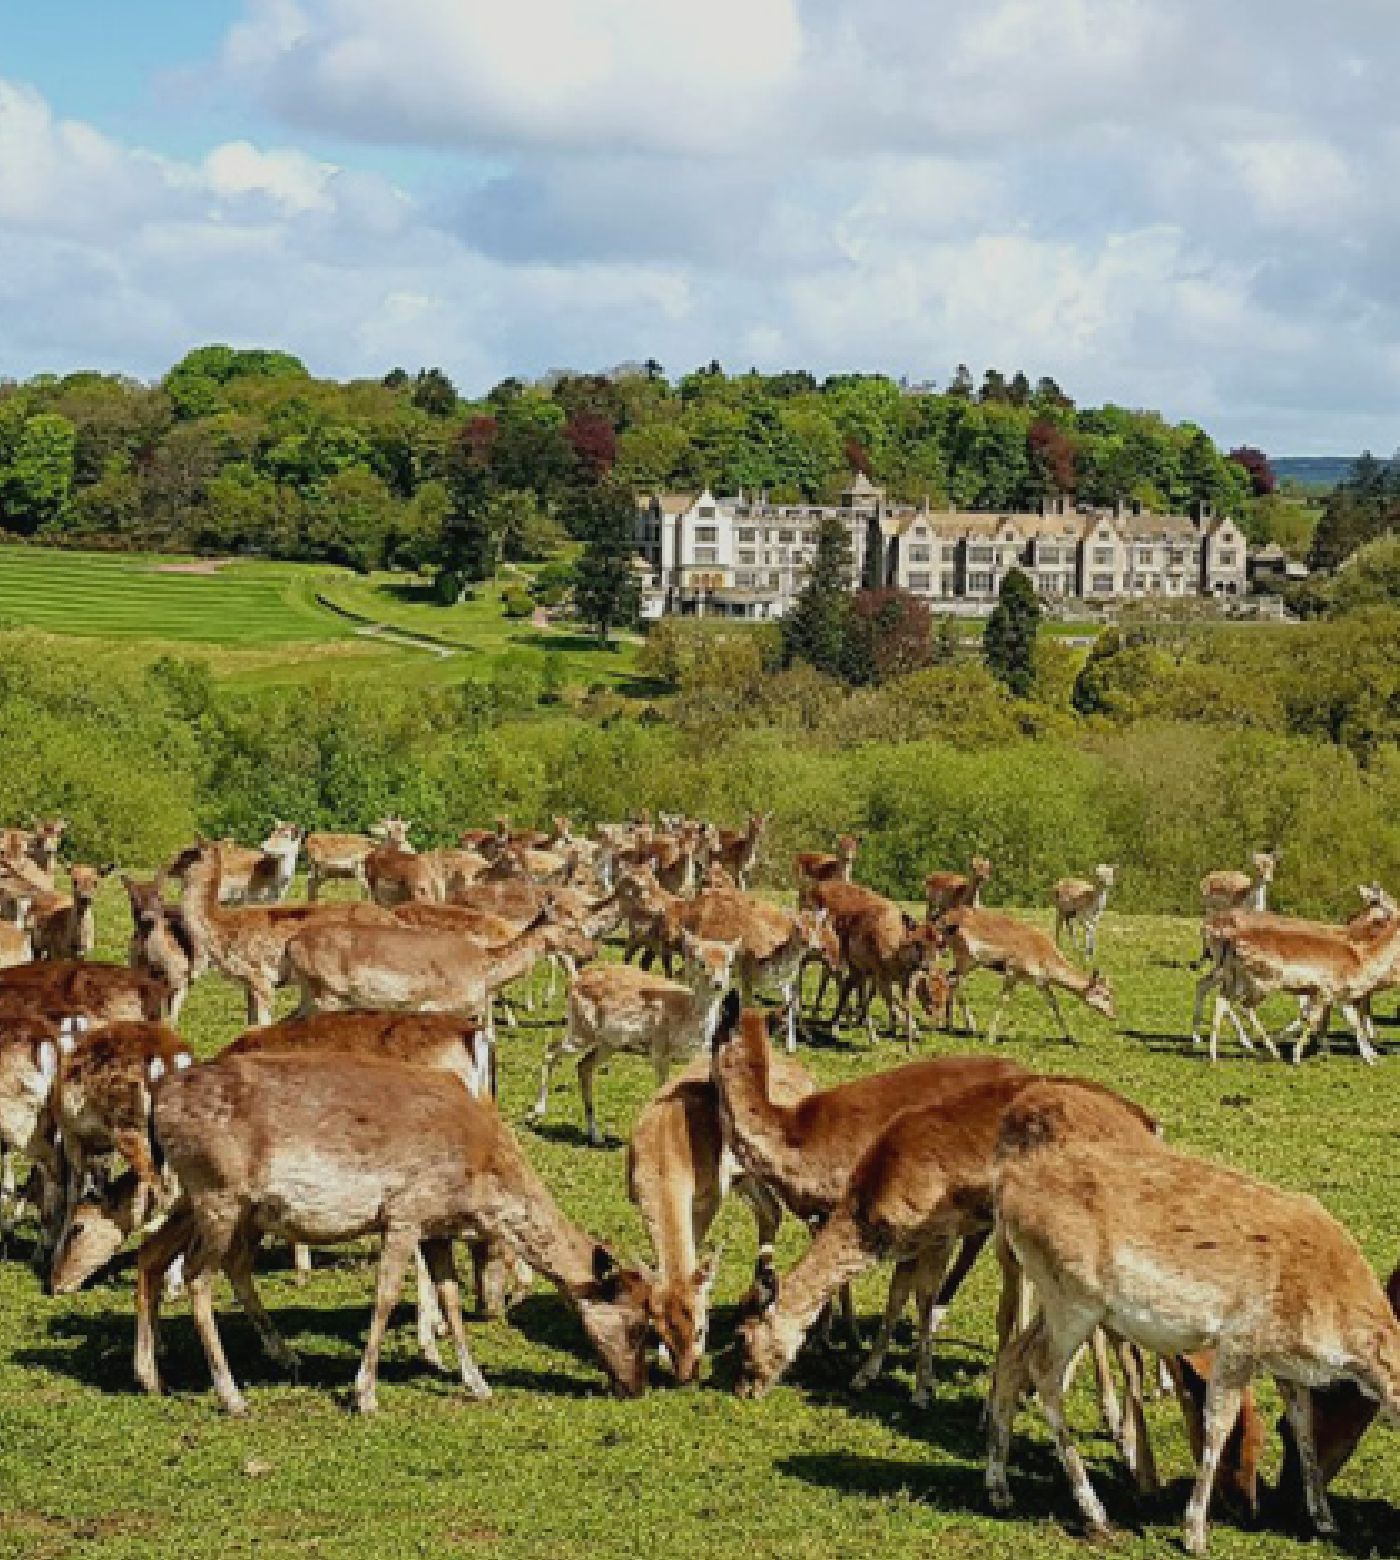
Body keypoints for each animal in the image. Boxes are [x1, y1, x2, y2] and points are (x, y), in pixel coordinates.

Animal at [134, 1048, 658, 1416]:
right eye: (638, 1323)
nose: (636, 1387)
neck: (480, 1173)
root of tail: (159, 1101)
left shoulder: (437, 1229)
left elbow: (450, 1298)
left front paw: (477, 1383)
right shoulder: (406, 1214)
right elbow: (386, 1297)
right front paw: (364, 1395)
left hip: (209, 1203)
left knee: (161, 1256)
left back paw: (156, 1376)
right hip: (217, 1195)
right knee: (199, 1275)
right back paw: (231, 1396)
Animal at [527, 923, 742, 1148]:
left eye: (729, 963)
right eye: (701, 962)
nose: (718, 983)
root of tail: (575, 979)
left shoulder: (699, 1055)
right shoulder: (659, 1051)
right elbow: (662, 1088)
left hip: (607, 1043)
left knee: (583, 1065)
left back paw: (596, 1135)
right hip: (580, 1030)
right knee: (552, 1050)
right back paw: (535, 1114)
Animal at [627, 1054, 811, 1385]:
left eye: (701, 1328)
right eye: (659, 1329)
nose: (687, 1376)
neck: (665, 1149)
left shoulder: (709, 1198)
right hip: (745, 1178)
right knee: (771, 1212)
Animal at [936, 911, 1111, 1042]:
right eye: (1104, 994)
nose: (1113, 1015)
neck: (1041, 951)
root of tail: (947, 919)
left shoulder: (1040, 982)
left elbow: (1054, 1003)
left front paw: (1070, 1038)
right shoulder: (1012, 974)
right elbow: (1003, 999)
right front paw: (990, 1037)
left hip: (970, 964)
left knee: (950, 978)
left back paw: (950, 1027)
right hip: (966, 960)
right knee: (955, 981)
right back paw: (970, 1027)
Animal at [986, 1079, 1398, 1553]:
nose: (1248, 1507)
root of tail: (1009, 1191)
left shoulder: (1282, 1361)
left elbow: (1304, 1425)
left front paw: (1325, 1519)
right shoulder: (1239, 1342)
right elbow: (1217, 1424)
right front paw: (1195, 1532)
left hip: (1062, 1302)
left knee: (1011, 1359)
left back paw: (1000, 1489)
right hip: (1072, 1301)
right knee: (1043, 1371)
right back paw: (1096, 1514)